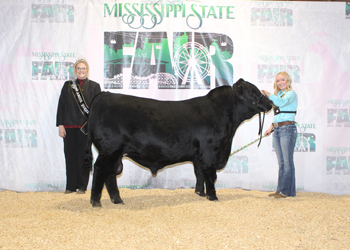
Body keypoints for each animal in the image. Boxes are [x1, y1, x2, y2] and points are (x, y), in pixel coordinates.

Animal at [84, 78, 274, 207]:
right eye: (252, 93)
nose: (271, 103)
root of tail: (104, 95)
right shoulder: (210, 151)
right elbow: (210, 175)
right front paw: (212, 197)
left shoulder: (199, 156)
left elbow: (199, 173)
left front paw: (200, 193)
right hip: (110, 150)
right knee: (100, 170)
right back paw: (96, 202)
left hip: (115, 152)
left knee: (109, 174)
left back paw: (117, 200)